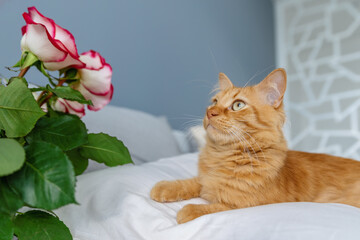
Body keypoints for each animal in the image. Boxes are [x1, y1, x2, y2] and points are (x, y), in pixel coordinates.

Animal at [149, 68, 360, 224]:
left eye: (238, 105)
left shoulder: (249, 203)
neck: (223, 155)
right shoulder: (207, 179)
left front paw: (189, 210)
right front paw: (165, 187)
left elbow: (216, 206)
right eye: (214, 102)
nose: (210, 113)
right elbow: (196, 181)